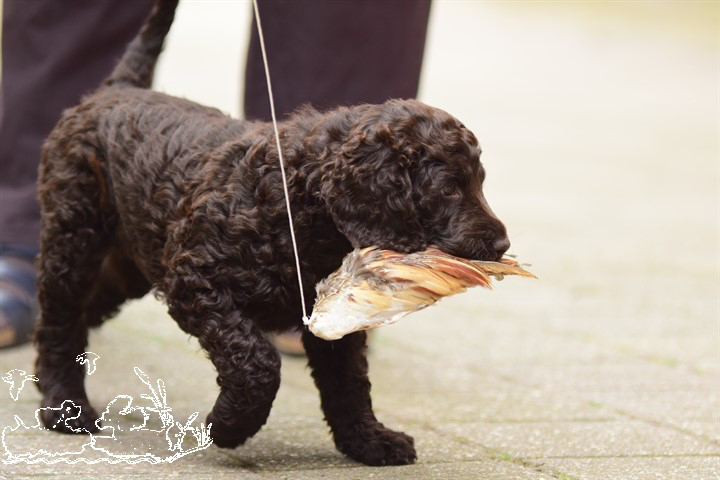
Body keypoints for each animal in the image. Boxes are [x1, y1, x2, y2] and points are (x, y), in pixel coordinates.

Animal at [33, 0, 506, 464]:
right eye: (449, 189)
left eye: (480, 182)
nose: (503, 243)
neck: (294, 204)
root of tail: (116, 89)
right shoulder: (197, 281)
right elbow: (258, 361)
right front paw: (229, 426)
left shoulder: (329, 314)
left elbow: (349, 382)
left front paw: (369, 441)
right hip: (73, 236)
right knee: (59, 319)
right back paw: (64, 408)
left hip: (129, 261)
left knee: (86, 307)